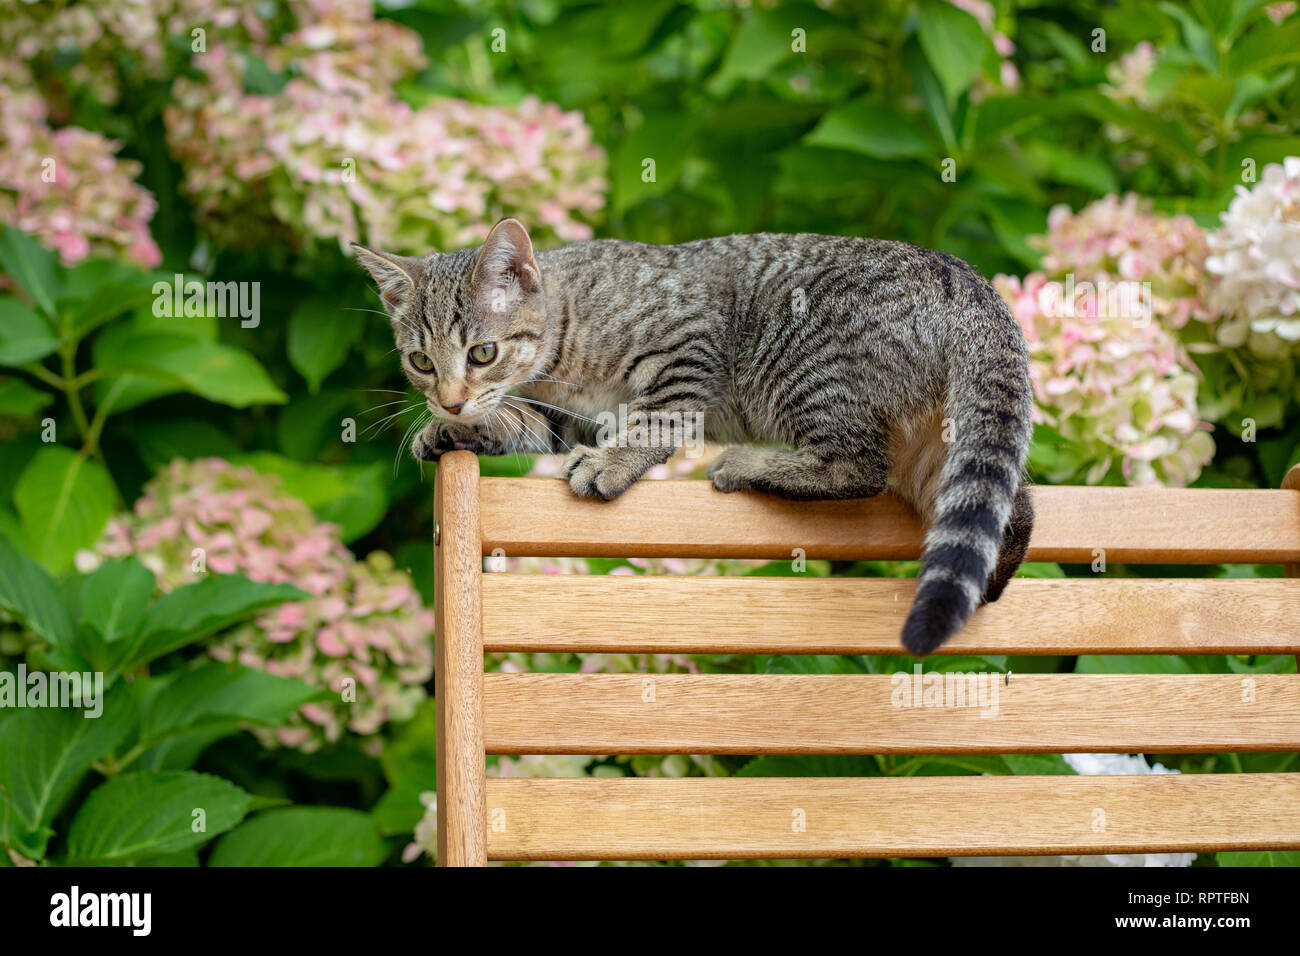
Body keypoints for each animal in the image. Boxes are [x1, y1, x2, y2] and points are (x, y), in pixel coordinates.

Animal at [356, 219, 1034, 655]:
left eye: (483, 352)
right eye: (421, 362)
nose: (449, 397)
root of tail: (969, 285)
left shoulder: (687, 343)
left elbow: (659, 417)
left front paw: (612, 463)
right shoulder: (577, 415)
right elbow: (523, 421)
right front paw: (452, 429)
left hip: (805, 371)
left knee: (859, 468)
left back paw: (750, 465)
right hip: (944, 443)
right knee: (1013, 507)